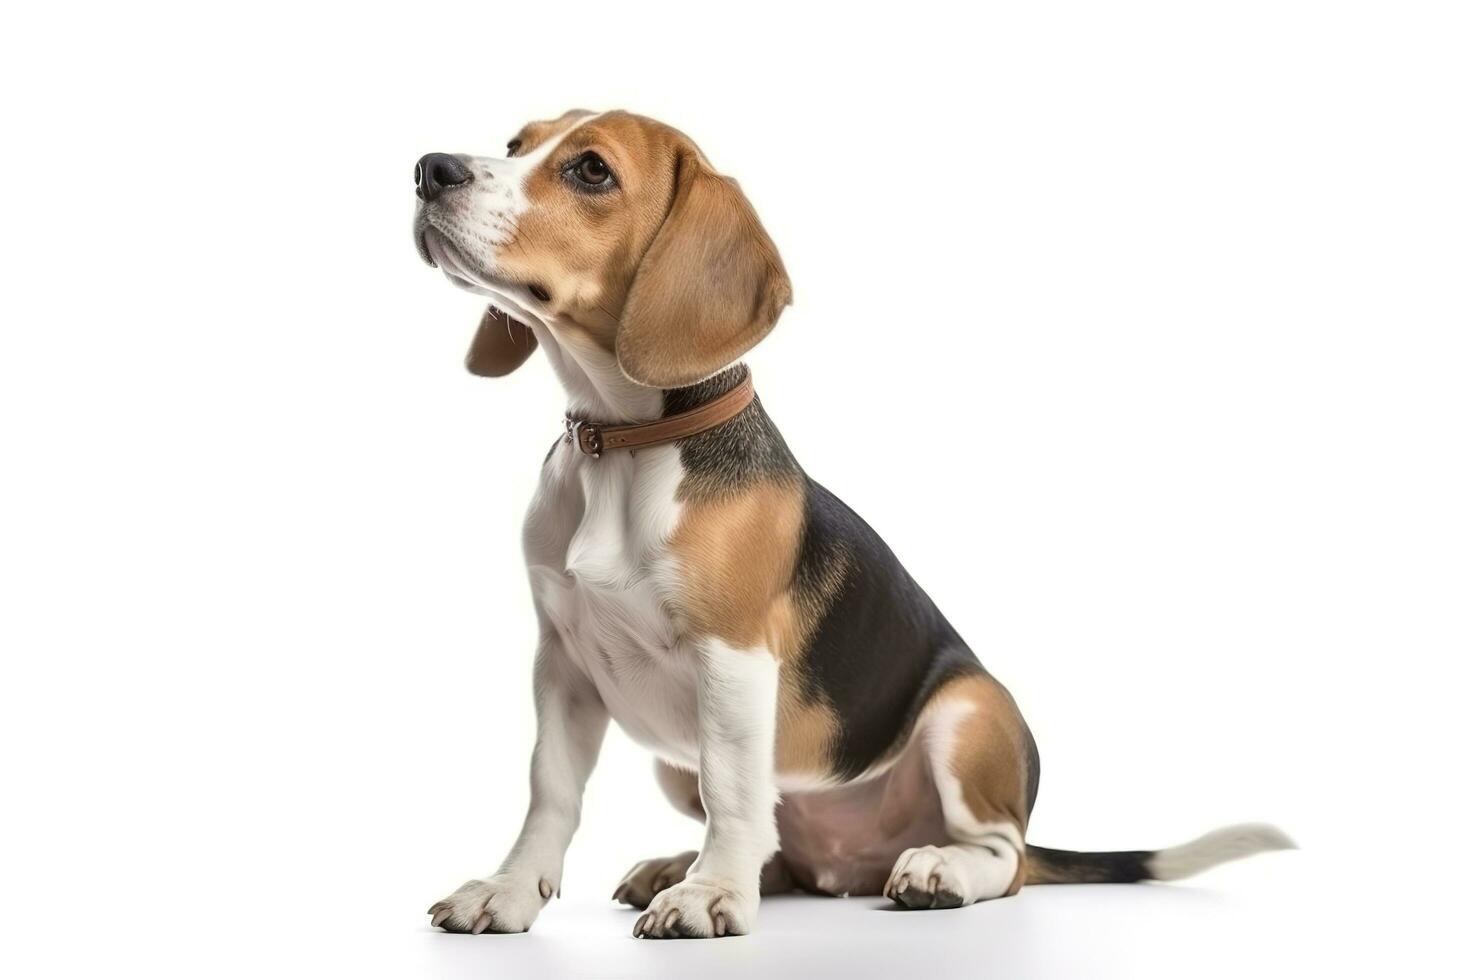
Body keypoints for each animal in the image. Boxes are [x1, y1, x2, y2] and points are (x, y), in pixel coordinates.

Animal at [411, 110, 1287, 940]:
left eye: (591, 169)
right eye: (515, 143)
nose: (429, 169)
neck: (623, 446)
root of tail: (852, 861)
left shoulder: (731, 656)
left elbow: (732, 786)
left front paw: (709, 898)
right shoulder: (561, 661)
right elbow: (551, 790)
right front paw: (509, 892)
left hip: (969, 715)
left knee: (1000, 856)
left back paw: (934, 868)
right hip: (688, 768)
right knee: (777, 850)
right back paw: (683, 867)